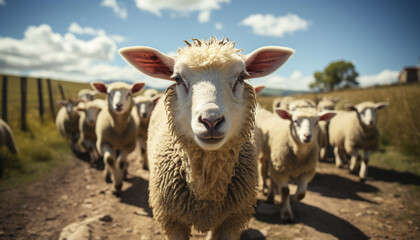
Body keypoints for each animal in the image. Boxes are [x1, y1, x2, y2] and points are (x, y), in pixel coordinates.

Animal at [119, 36, 296, 239]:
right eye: (178, 78)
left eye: (241, 77)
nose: (211, 121)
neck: (207, 190)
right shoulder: (171, 220)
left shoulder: (231, 221)